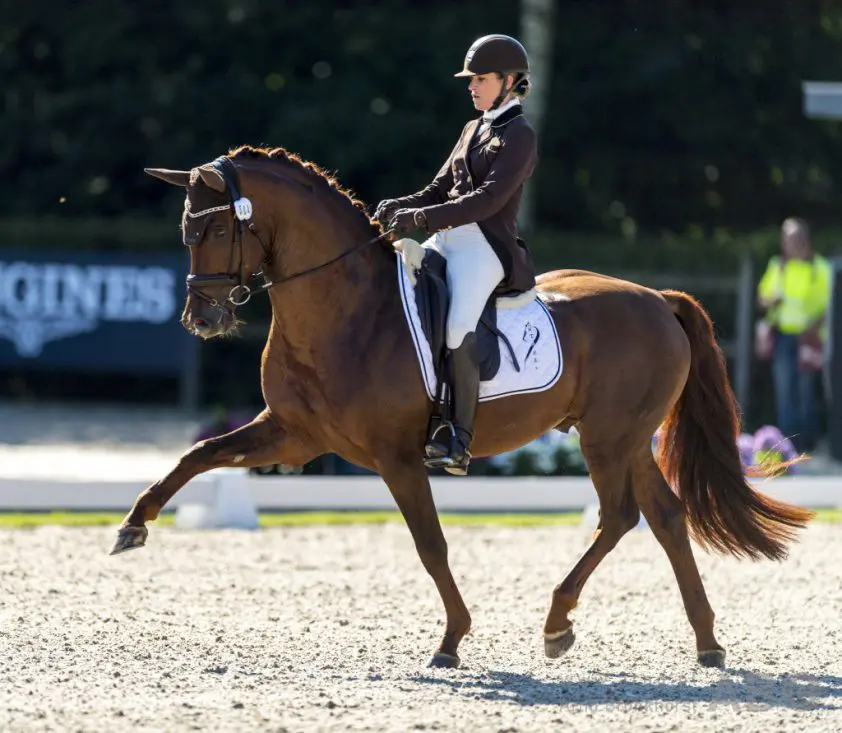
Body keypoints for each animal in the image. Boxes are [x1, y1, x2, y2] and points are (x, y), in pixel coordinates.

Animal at [113, 145, 814, 670]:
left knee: (620, 516)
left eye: (217, 227)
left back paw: (558, 624)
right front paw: (133, 526)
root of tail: (656, 298)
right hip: (625, 437)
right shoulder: (293, 434)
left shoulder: (397, 456)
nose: (202, 319)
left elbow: (432, 545)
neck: (344, 310)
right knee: (665, 517)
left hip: (607, 438)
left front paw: (450, 641)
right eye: (187, 231)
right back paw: (706, 643)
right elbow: (199, 453)